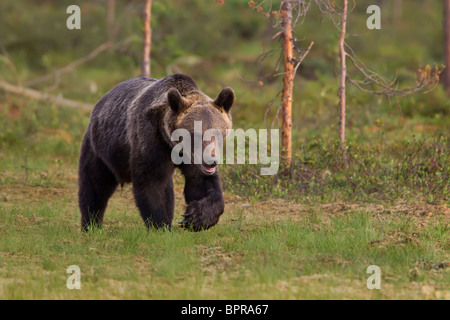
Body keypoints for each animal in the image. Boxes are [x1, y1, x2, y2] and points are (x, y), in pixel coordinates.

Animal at [78, 74, 234, 231]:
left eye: (218, 133)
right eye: (195, 134)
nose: (211, 161)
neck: (173, 144)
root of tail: (101, 101)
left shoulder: (192, 158)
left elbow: (201, 183)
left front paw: (196, 217)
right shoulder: (152, 142)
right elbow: (151, 183)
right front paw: (160, 225)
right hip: (100, 149)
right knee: (95, 186)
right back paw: (91, 224)